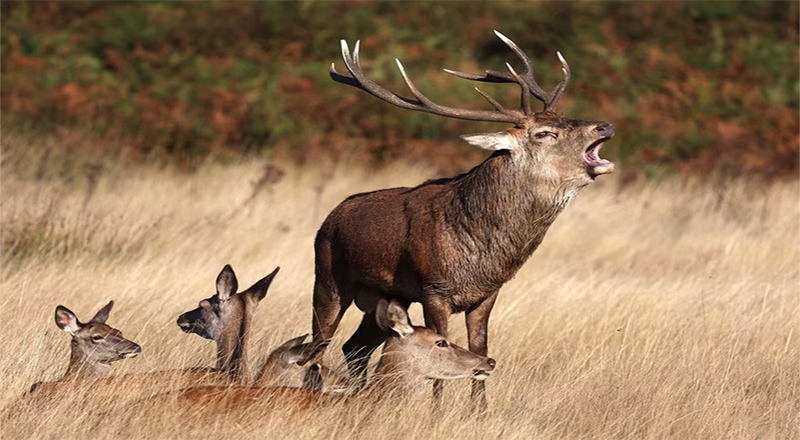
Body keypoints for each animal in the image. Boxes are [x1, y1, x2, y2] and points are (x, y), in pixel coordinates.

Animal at [304, 31, 616, 412]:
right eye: (544, 133)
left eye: (566, 117)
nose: (604, 124)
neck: (480, 251)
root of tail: (331, 217)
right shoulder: (434, 290)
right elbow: (440, 349)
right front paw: (436, 411)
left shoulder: (487, 294)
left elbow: (479, 348)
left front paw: (479, 411)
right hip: (328, 278)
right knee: (319, 344)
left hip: (386, 297)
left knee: (355, 347)